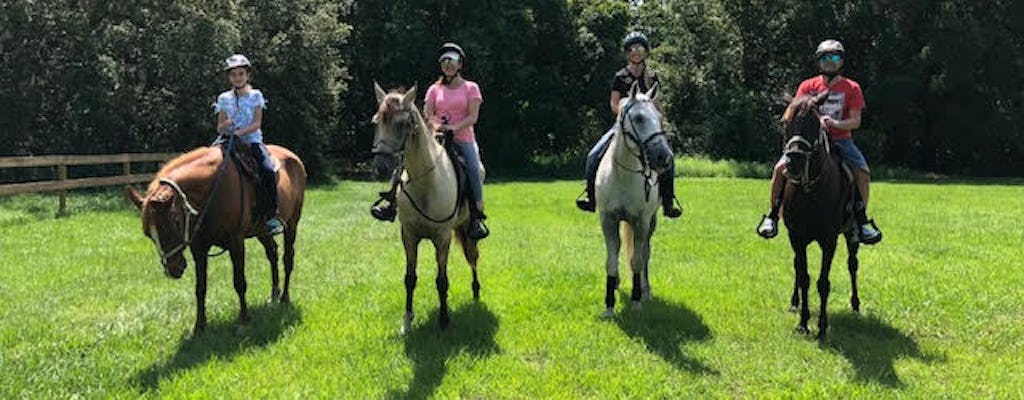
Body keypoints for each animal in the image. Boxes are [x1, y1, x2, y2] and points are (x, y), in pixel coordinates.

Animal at [128, 141, 305, 335]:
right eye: (147, 233)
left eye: (175, 222)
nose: (173, 269)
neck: (212, 191)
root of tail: (294, 157)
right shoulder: (199, 248)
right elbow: (200, 287)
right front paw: (199, 326)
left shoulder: (236, 242)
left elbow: (239, 282)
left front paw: (244, 320)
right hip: (262, 231)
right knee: (272, 253)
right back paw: (274, 293)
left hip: (292, 224)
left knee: (288, 259)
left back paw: (285, 298)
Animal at [372, 82, 483, 335]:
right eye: (376, 122)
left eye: (401, 124)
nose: (380, 167)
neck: (426, 183)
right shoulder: (409, 236)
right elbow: (410, 278)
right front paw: (406, 321)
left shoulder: (442, 238)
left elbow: (442, 281)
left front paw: (443, 321)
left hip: (467, 227)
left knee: (472, 257)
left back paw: (476, 291)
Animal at [593, 82, 671, 317]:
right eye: (638, 118)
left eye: (659, 116)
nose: (664, 157)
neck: (624, 175)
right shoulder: (608, 220)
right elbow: (611, 260)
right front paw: (609, 305)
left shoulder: (641, 221)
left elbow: (636, 260)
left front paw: (637, 301)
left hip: (650, 223)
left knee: (645, 253)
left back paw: (645, 291)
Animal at [778, 92, 860, 339]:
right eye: (784, 123)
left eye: (814, 124)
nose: (793, 161)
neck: (810, 190)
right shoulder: (796, 237)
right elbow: (804, 276)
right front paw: (803, 323)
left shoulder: (829, 240)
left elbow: (823, 282)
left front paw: (822, 327)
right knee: (797, 268)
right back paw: (794, 302)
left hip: (851, 234)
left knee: (853, 264)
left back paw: (856, 305)